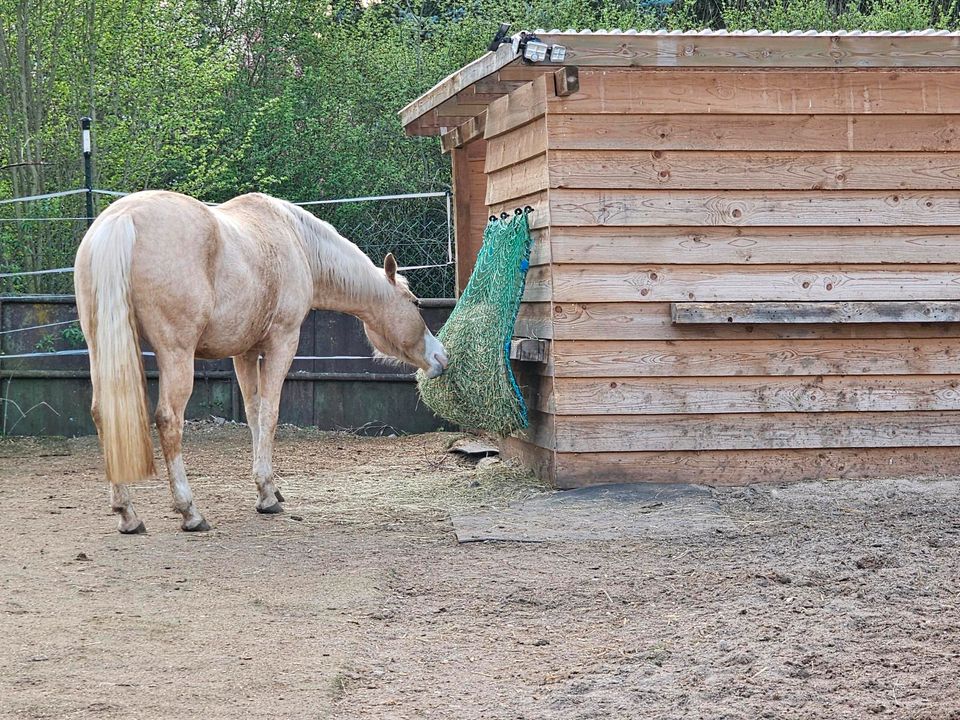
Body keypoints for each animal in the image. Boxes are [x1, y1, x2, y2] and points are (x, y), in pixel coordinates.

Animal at [75, 191, 450, 536]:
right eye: (415, 303)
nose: (440, 357)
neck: (295, 241)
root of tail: (121, 219)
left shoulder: (244, 353)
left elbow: (253, 415)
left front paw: (269, 487)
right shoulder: (281, 344)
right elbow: (270, 414)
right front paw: (267, 496)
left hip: (101, 348)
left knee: (102, 413)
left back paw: (127, 514)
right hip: (175, 353)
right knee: (169, 419)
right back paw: (189, 512)